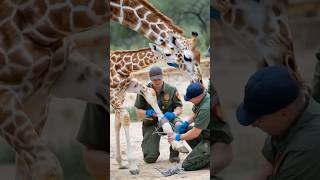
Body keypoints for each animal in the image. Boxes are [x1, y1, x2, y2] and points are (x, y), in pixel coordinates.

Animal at [110, 37, 199, 174]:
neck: (121, 67)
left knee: (116, 122)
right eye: (167, 53)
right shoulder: (110, 92)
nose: (182, 62)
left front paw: (177, 144)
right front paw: (133, 166)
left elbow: (151, 93)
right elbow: (125, 117)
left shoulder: (127, 86)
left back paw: (120, 163)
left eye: (174, 48)